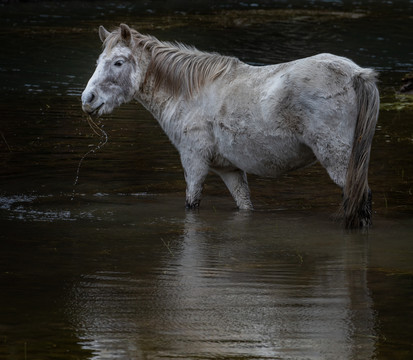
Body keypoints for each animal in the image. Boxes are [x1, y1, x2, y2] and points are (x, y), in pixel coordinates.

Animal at [81, 23, 380, 229]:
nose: (87, 99)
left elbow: (192, 205)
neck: (190, 93)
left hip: (339, 161)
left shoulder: (194, 162)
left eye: (118, 62)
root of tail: (356, 73)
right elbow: (244, 207)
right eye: (97, 62)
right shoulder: (230, 171)